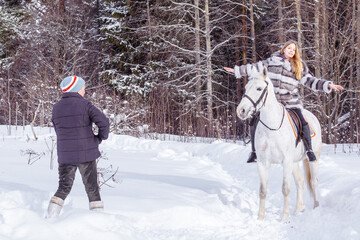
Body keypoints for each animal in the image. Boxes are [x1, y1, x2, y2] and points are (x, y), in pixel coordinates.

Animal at [238, 67, 322, 221]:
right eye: (246, 87)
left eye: (259, 88)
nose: (241, 111)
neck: (272, 126)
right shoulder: (263, 163)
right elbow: (262, 190)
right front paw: (260, 218)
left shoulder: (286, 161)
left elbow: (285, 189)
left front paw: (284, 218)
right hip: (294, 162)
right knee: (300, 181)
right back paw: (298, 209)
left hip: (313, 159)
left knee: (313, 182)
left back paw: (316, 207)